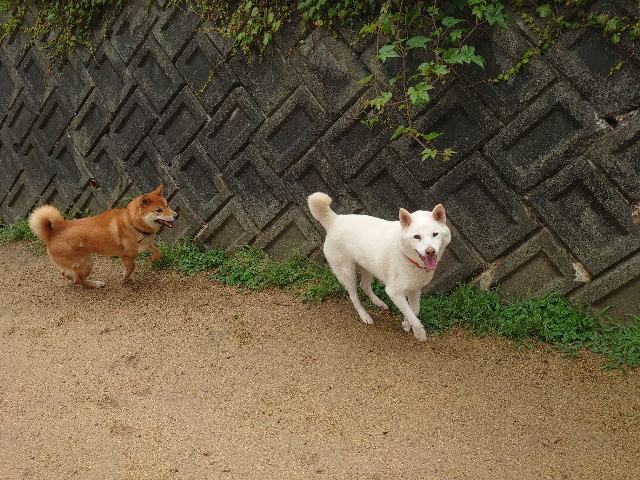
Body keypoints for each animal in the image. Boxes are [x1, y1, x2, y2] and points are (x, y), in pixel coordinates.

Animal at [29, 185, 178, 288]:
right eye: (158, 210)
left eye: (167, 205)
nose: (176, 215)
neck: (132, 223)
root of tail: (51, 234)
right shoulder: (126, 256)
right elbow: (131, 267)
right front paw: (125, 277)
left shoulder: (146, 245)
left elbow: (159, 253)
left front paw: (151, 259)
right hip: (86, 264)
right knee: (78, 279)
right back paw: (95, 284)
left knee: (66, 274)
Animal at [308, 192, 451, 341]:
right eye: (417, 237)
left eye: (435, 234)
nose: (430, 251)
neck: (406, 256)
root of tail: (334, 220)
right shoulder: (394, 292)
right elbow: (413, 316)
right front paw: (419, 333)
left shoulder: (414, 289)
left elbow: (414, 311)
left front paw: (406, 324)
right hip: (347, 273)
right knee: (354, 297)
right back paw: (365, 316)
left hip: (368, 266)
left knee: (364, 286)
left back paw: (379, 303)